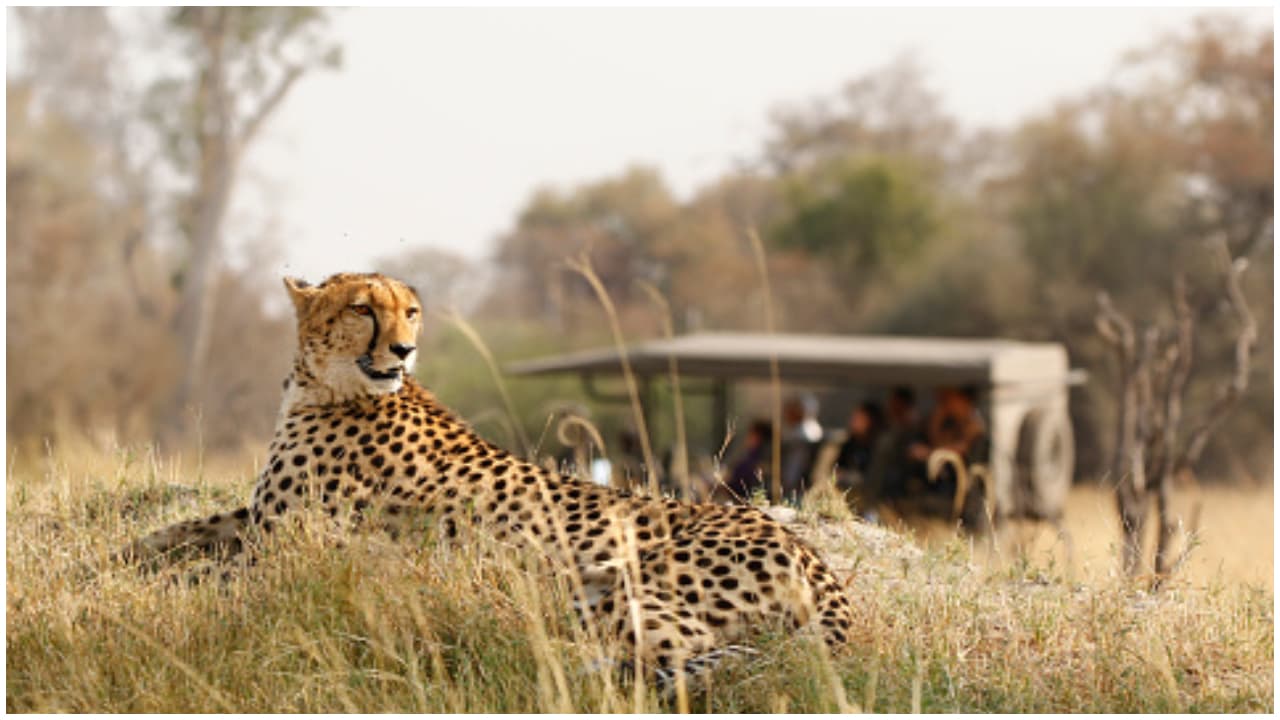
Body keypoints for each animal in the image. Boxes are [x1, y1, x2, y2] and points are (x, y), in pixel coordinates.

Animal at [123, 271, 856, 683]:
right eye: (363, 309)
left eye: (410, 311)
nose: (404, 348)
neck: (326, 386)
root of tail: (809, 553)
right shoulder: (260, 517)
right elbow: (178, 530)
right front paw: (122, 555)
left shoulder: (291, 542)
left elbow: (204, 571)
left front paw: (146, 583)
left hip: (608, 582)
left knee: (687, 650)